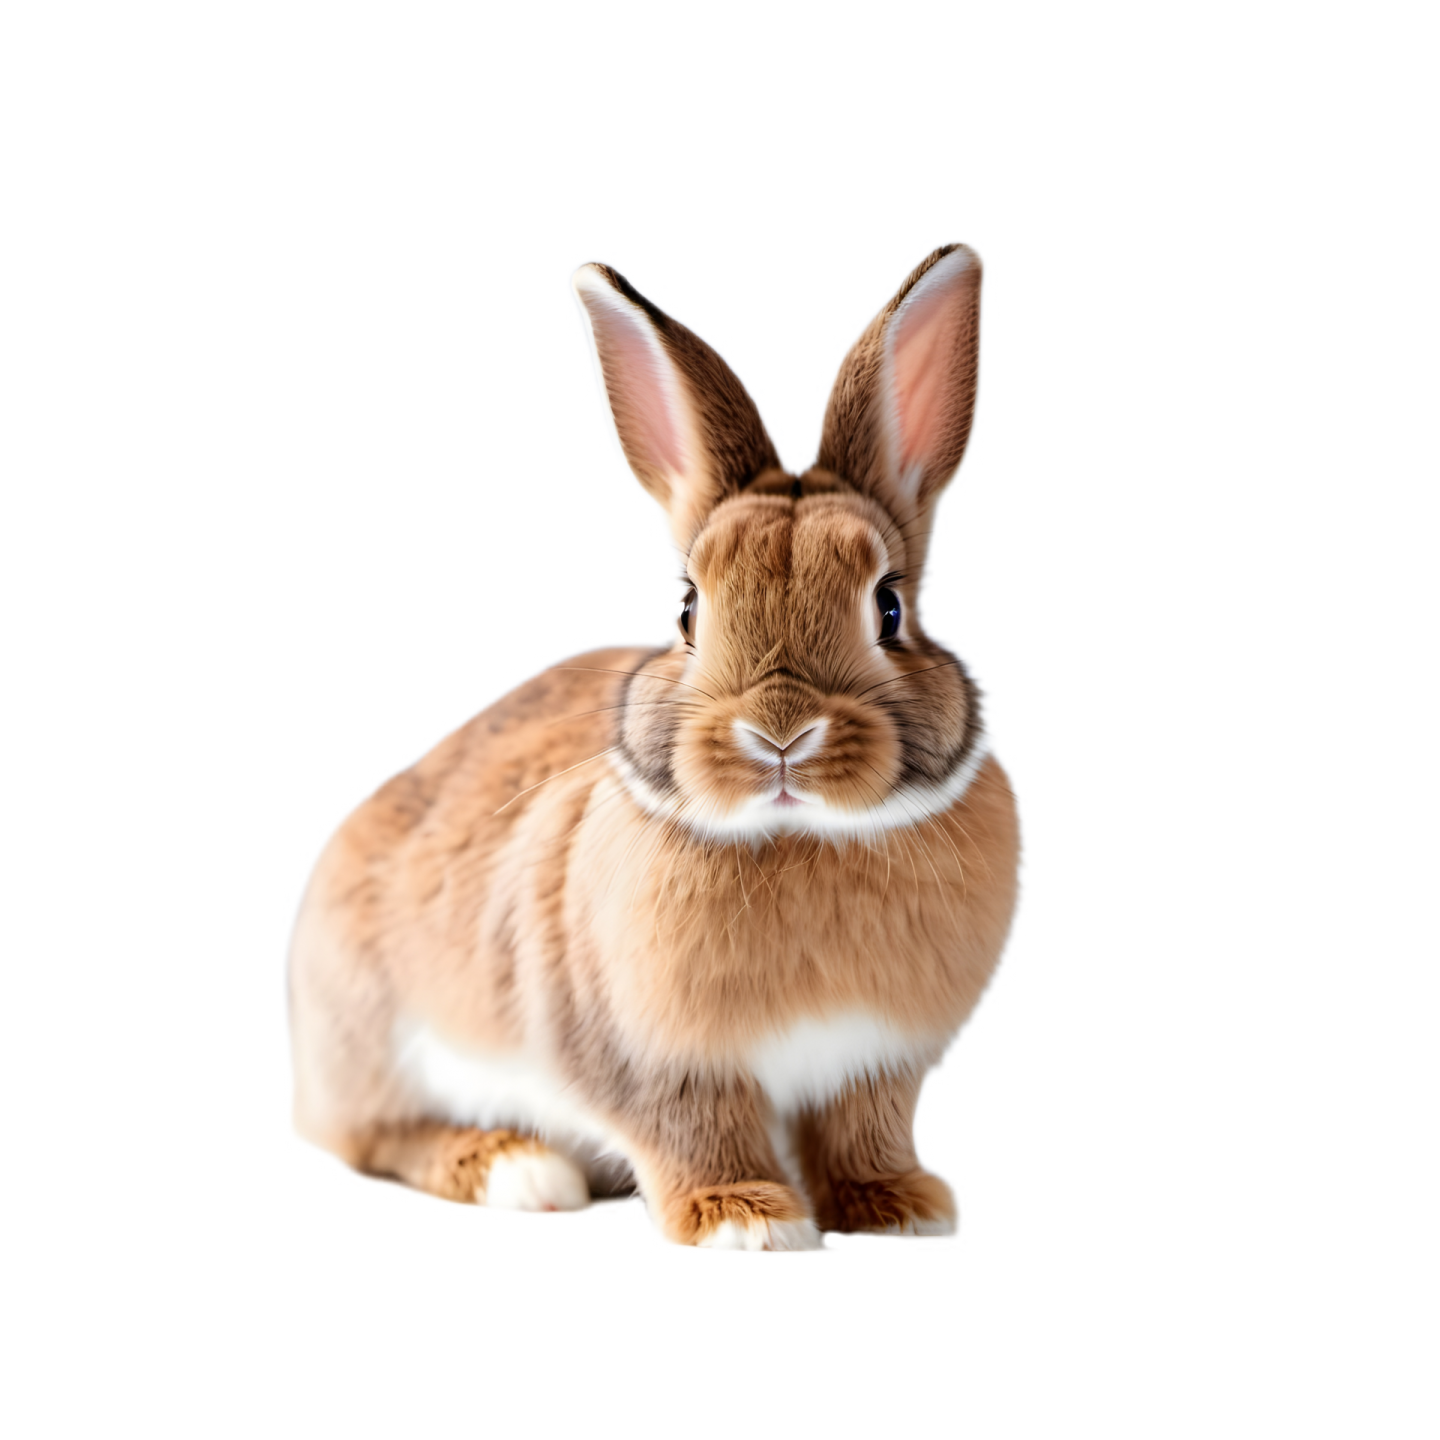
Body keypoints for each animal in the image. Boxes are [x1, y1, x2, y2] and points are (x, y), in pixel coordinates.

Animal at [282, 240, 1025, 1252]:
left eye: (889, 609)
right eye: (686, 610)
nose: (780, 735)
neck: (799, 836)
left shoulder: (873, 1069)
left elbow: (859, 1133)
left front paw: (903, 1207)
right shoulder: (655, 1062)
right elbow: (694, 1130)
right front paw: (745, 1221)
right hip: (378, 1038)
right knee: (380, 1136)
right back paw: (519, 1168)